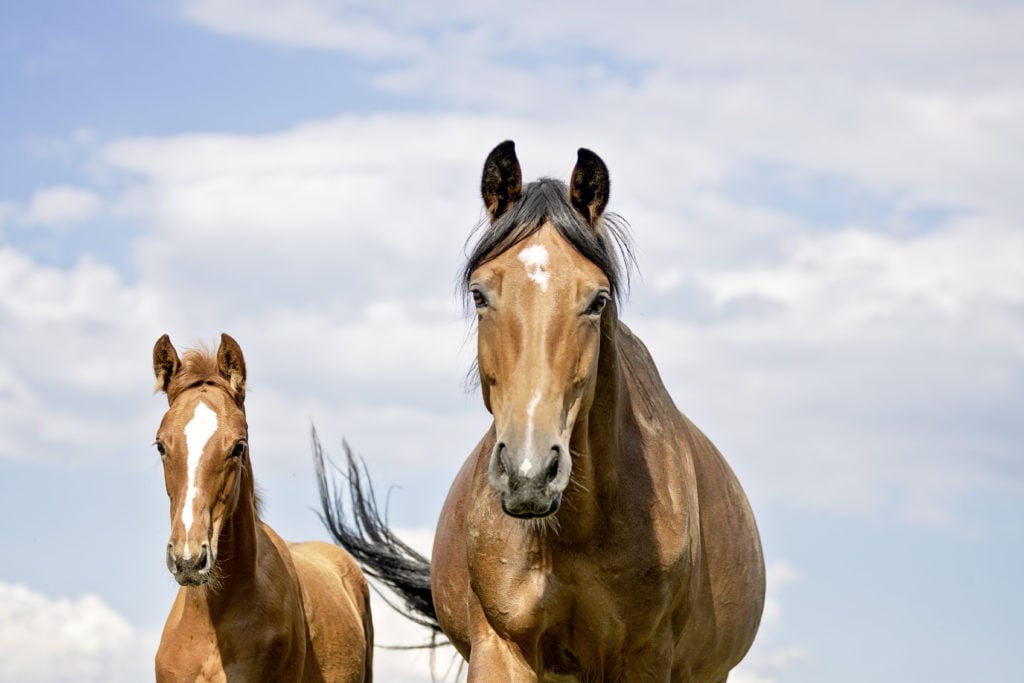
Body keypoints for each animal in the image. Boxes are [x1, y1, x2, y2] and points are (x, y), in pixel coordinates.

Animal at [315, 141, 765, 679]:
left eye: (597, 300)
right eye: (480, 294)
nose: (528, 473)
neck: (576, 534)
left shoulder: (646, 657)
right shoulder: (501, 648)